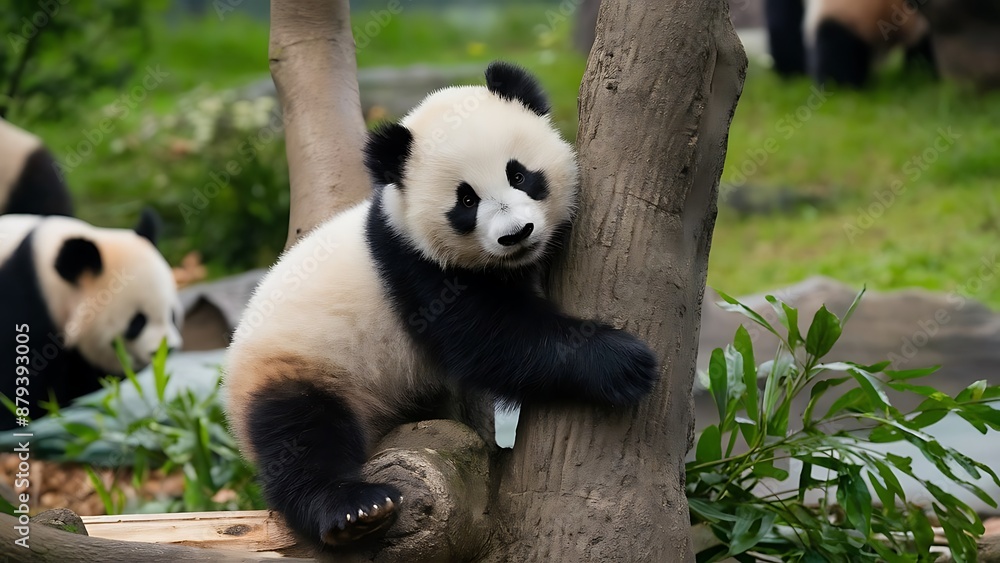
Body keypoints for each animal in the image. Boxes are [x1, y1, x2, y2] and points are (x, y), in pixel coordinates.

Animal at [224, 61, 659, 548]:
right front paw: (622, 361)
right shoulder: (417, 270)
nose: (516, 234)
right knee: (299, 436)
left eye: (519, 175)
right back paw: (354, 508)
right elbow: (490, 339)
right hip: (300, 362)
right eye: (466, 199)